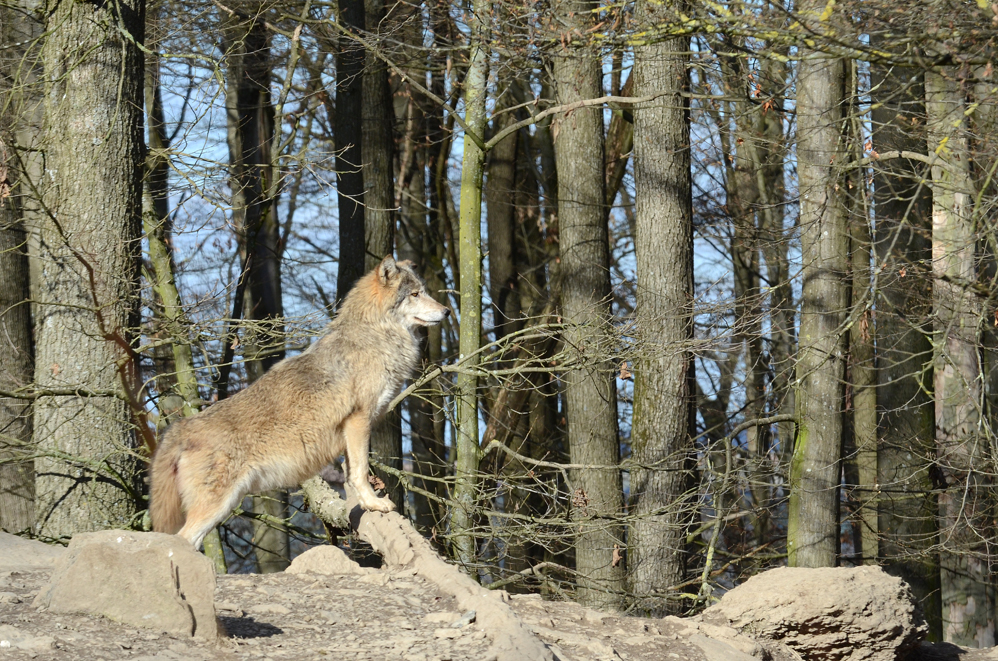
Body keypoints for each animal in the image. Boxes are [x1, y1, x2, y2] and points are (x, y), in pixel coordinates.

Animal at [150, 255, 452, 548]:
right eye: (415, 294)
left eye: (424, 291)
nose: (447, 311)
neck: (375, 336)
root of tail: (181, 427)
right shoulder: (359, 419)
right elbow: (361, 471)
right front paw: (373, 503)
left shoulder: (350, 430)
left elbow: (351, 472)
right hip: (216, 506)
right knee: (181, 540)